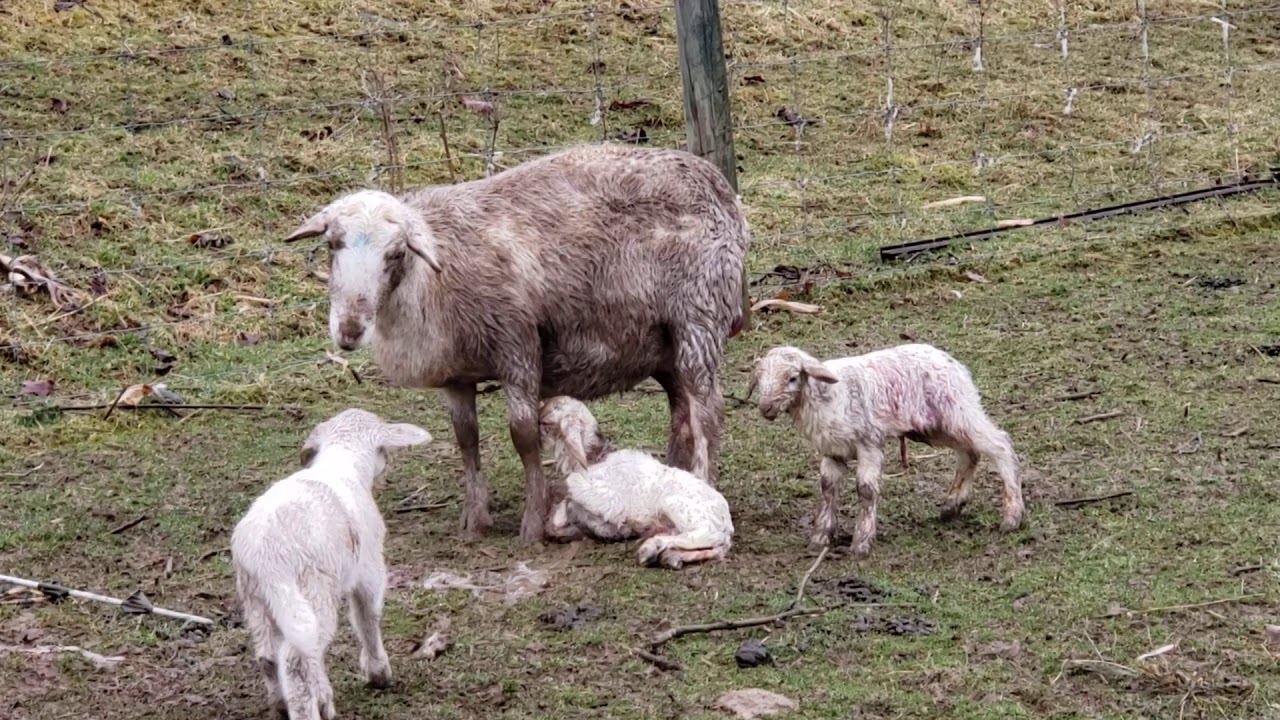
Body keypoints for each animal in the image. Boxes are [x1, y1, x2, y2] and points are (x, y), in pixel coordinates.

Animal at [230, 408, 432, 720]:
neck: (342, 464)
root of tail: (266, 555)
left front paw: (325, 695)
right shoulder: (369, 569)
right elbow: (367, 618)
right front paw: (378, 673)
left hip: (257, 599)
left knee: (269, 656)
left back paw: (282, 705)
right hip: (311, 593)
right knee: (296, 660)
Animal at [282, 142, 750, 545]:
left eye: (396, 254)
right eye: (332, 244)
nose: (349, 330)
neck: (432, 277)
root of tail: (719, 186)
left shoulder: (517, 345)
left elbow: (522, 435)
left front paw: (532, 523)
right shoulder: (457, 372)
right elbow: (465, 437)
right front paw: (474, 519)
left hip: (699, 315)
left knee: (708, 411)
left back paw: (704, 483)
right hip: (663, 340)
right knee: (681, 411)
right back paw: (672, 471)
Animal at [538, 396, 734, 569]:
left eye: (545, 423)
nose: (539, 442)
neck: (596, 457)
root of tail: (727, 522)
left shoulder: (609, 501)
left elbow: (571, 488)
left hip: (677, 505)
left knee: (710, 535)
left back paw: (651, 548)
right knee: (714, 548)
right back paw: (667, 555)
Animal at [747, 343, 1023, 557]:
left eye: (792, 378)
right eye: (759, 380)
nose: (766, 408)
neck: (825, 397)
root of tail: (954, 363)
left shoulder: (869, 443)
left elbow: (866, 490)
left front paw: (861, 542)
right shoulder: (832, 450)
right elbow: (828, 488)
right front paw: (821, 538)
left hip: (959, 410)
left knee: (1000, 445)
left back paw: (1012, 516)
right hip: (937, 426)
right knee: (969, 452)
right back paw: (952, 506)